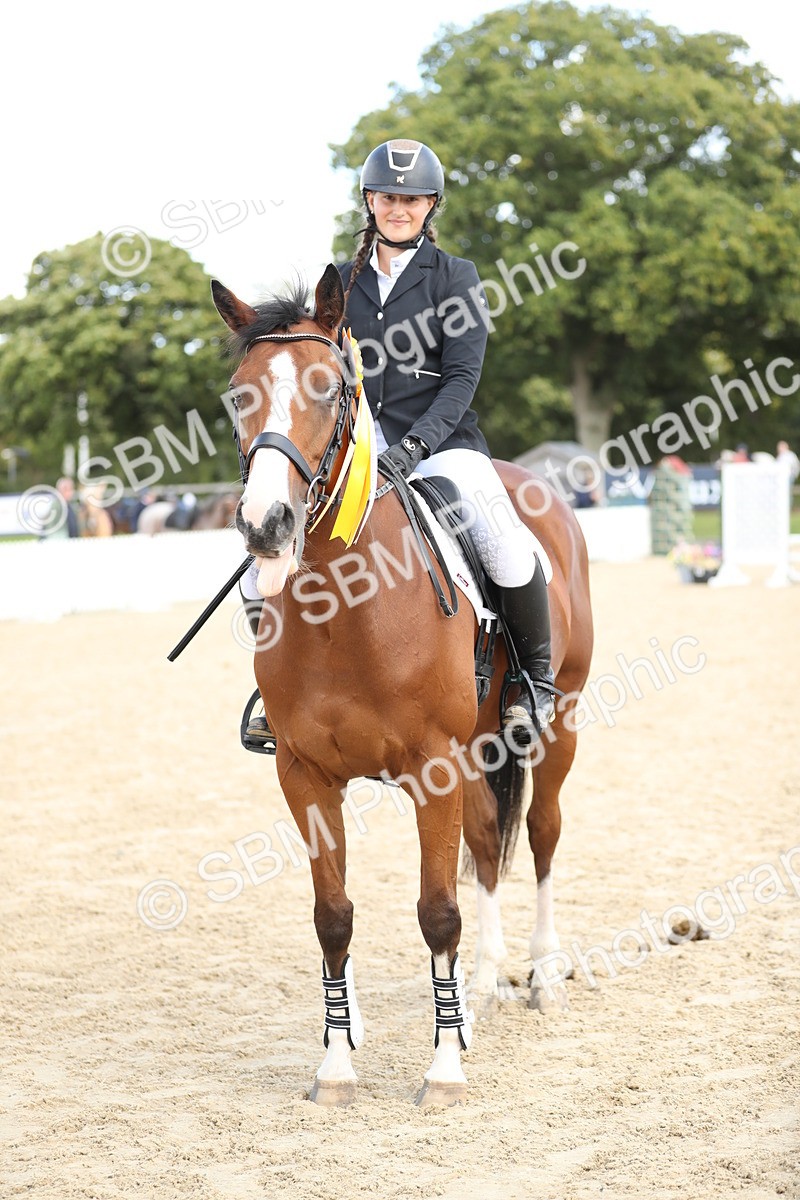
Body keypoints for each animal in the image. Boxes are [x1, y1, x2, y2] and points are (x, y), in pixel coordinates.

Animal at [211, 264, 593, 1107]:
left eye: (328, 388)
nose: (265, 525)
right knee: (487, 842)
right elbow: (333, 916)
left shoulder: (433, 767)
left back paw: (542, 980)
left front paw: (443, 1070)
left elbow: (437, 911)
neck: (344, 611)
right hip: (480, 749)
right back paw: (481, 990)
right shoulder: (305, 774)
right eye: (237, 394)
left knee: (543, 835)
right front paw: (336, 1063)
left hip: (556, 727)